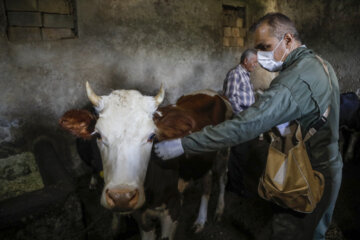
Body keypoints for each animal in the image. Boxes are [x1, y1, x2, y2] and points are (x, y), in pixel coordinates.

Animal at [59, 82, 232, 238]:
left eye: (151, 136)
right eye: (98, 135)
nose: (121, 197)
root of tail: (212, 92)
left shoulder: (173, 207)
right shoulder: (141, 217)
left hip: (223, 151)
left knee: (222, 178)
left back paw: (219, 211)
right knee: (207, 182)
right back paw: (200, 220)